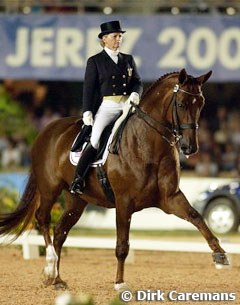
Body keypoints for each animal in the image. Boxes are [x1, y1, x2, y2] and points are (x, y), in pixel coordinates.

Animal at [0, 69, 229, 290]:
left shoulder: (170, 198)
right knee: (43, 219)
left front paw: (220, 254)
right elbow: (122, 245)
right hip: (49, 189)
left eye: (201, 104)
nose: (190, 148)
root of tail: (46, 131)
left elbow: (196, 216)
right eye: (181, 104)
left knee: (60, 231)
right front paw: (119, 282)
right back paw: (49, 267)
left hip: (77, 200)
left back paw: (56, 279)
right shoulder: (124, 202)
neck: (147, 144)